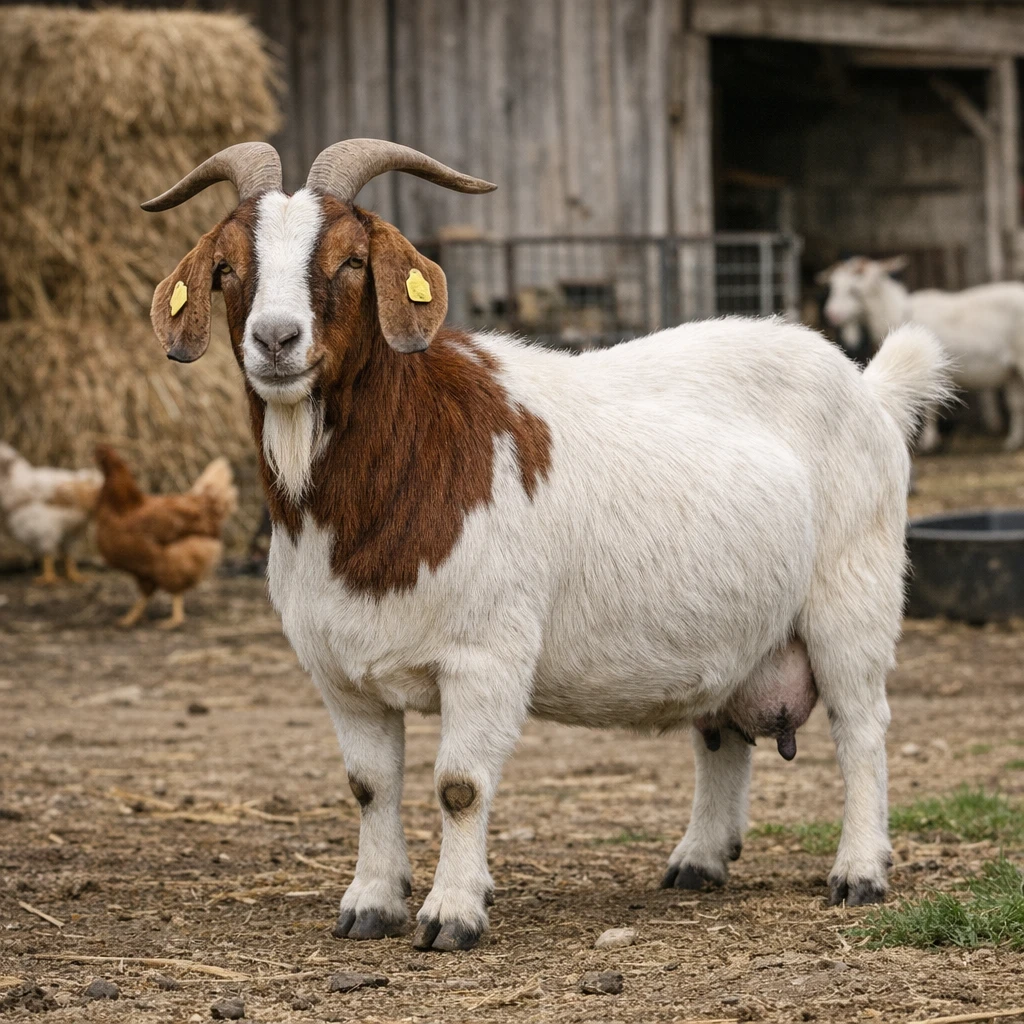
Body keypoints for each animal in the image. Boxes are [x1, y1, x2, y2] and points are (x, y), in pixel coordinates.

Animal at [143, 140, 951, 952]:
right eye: (226, 267)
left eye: (350, 260)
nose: (275, 340)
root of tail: (871, 388)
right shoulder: (340, 672)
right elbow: (370, 787)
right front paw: (370, 904)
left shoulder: (485, 655)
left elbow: (460, 787)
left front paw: (452, 914)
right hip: (734, 634)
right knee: (719, 736)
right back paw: (698, 859)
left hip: (853, 596)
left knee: (861, 730)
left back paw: (858, 872)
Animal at [820, 256, 1024, 451]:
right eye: (833, 286)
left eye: (854, 290)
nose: (831, 314)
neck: (897, 311)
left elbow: (929, 408)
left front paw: (929, 442)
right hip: (1013, 370)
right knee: (1015, 404)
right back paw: (1013, 441)